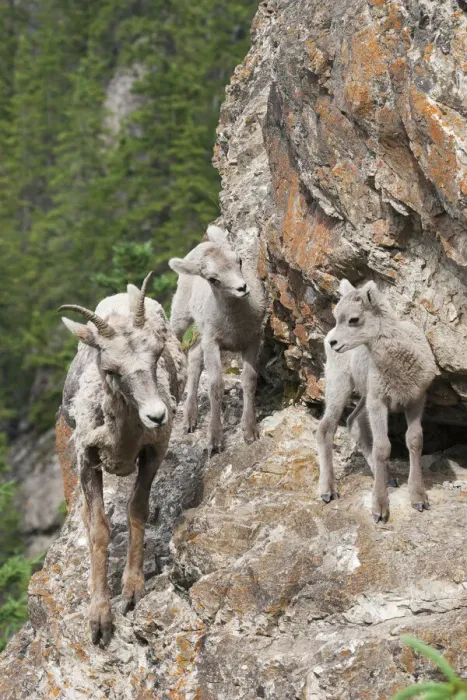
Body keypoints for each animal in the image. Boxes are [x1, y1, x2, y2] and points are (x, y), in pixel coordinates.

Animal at [59, 272, 186, 644]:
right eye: (111, 369)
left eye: (157, 354)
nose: (157, 416)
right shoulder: (87, 460)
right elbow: (99, 529)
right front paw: (100, 621)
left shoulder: (154, 452)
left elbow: (136, 510)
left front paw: (132, 591)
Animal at [169, 225, 265, 455]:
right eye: (213, 279)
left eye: (239, 261)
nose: (242, 288)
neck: (235, 326)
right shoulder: (213, 342)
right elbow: (215, 385)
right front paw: (215, 440)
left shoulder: (252, 339)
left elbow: (249, 379)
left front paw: (250, 431)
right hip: (181, 315)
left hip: (201, 332)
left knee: (194, 357)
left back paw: (190, 419)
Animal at [317, 279, 437, 523]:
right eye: (337, 315)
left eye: (353, 319)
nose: (334, 342)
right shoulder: (378, 403)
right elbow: (382, 447)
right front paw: (380, 509)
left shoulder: (416, 400)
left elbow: (415, 441)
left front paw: (419, 499)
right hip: (339, 383)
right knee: (326, 427)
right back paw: (328, 490)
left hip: (365, 394)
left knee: (353, 421)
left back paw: (387, 477)